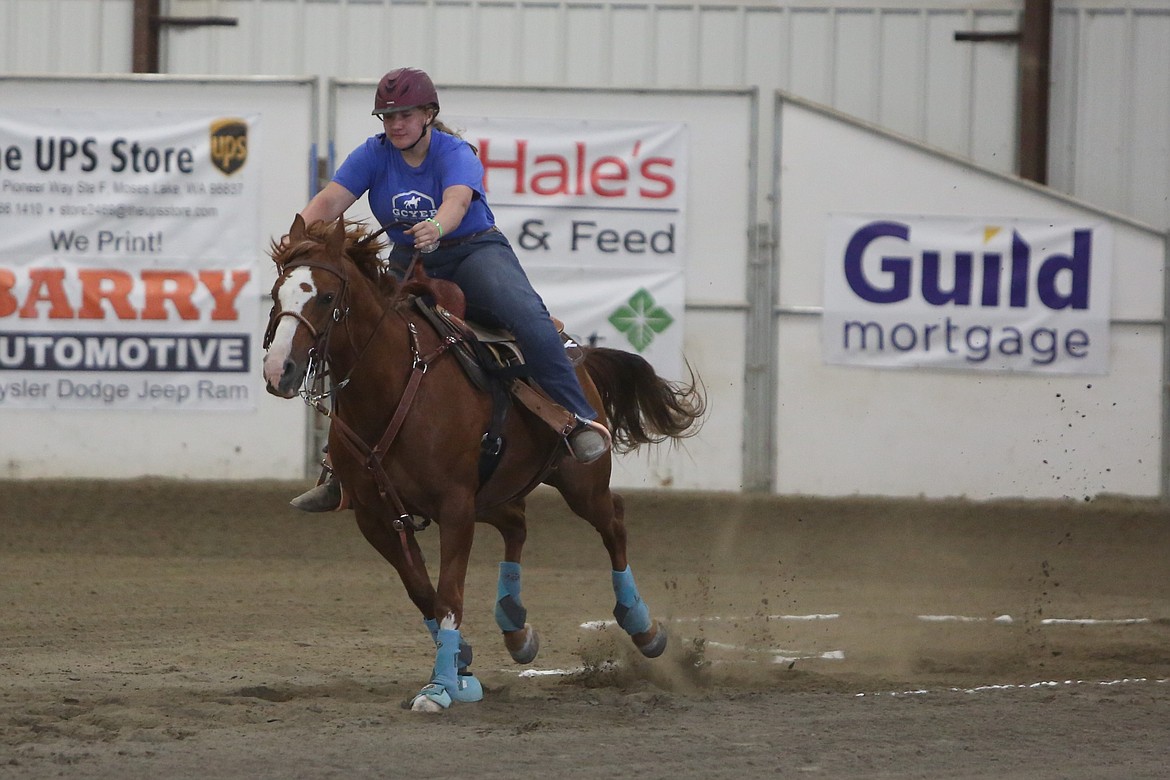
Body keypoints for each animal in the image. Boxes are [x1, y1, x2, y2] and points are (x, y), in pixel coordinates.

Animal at [263, 215, 702, 715]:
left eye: (325, 297)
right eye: (277, 294)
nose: (279, 371)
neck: (395, 383)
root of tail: (579, 354)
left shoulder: (454, 506)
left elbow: (449, 594)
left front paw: (440, 686)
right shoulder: (377, 518)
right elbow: (423, 593)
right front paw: (461, 663)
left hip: (580, 482)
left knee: (614, 522)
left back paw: (643, 628)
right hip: (493, 492)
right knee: (517, 524)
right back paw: (516, 629)